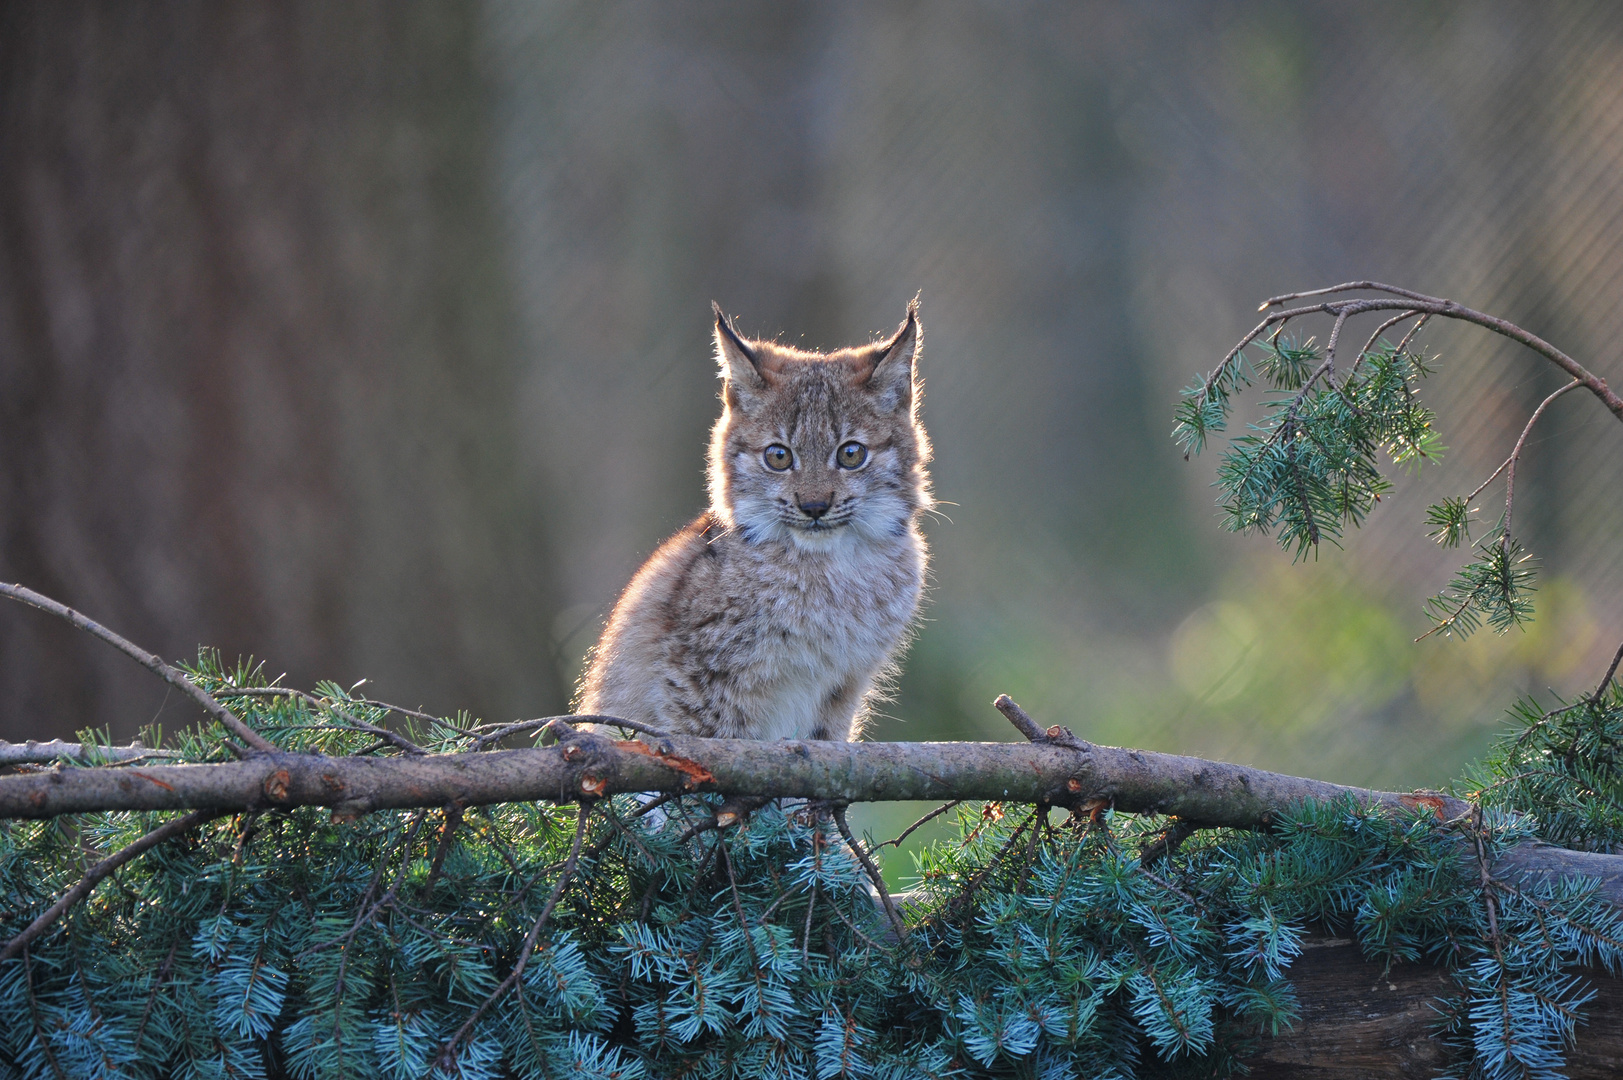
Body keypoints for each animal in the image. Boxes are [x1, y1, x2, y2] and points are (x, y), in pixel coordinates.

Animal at [577, 300, 928, 740]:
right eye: (778, 456)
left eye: (851, 454)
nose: (815, 506)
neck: (831, 566)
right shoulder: (696, 675)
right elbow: (715, 738)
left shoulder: (843, 685)